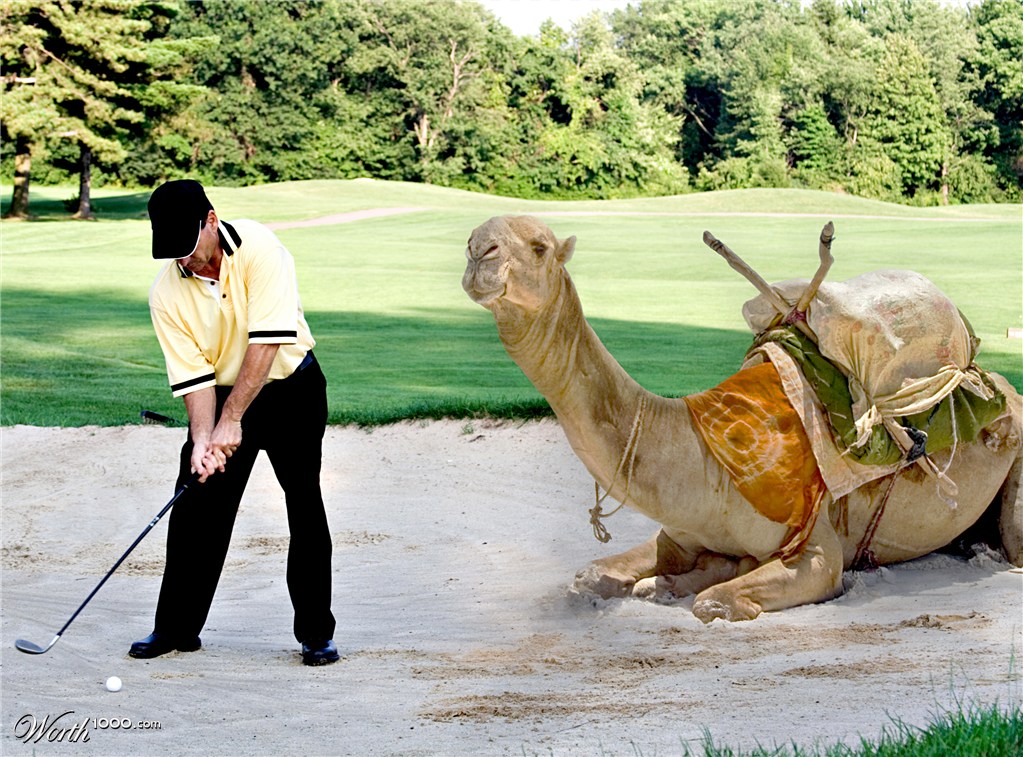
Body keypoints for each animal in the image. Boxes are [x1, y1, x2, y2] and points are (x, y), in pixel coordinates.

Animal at [462, 215, 1023, 622]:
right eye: (479, 239)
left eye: (538, 245)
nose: (476, 249)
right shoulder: (677, 532)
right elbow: (591, 575)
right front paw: (662, 581)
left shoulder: (815, 550)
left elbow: (713, 600)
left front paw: (683, 584)